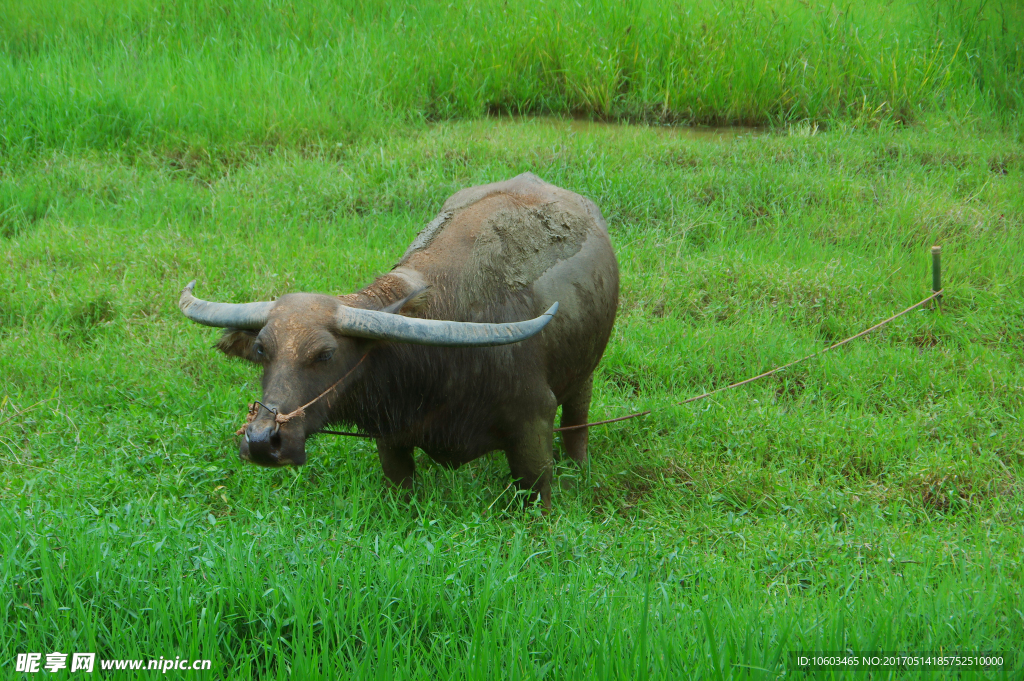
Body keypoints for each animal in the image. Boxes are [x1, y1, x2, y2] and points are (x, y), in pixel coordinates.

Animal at [178, 173, 614, 507]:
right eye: (261, 349)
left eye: (325, 354)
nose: (261, 441)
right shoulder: (389, 437)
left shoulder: (532, 427)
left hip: (584, 376)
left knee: (577, 423)